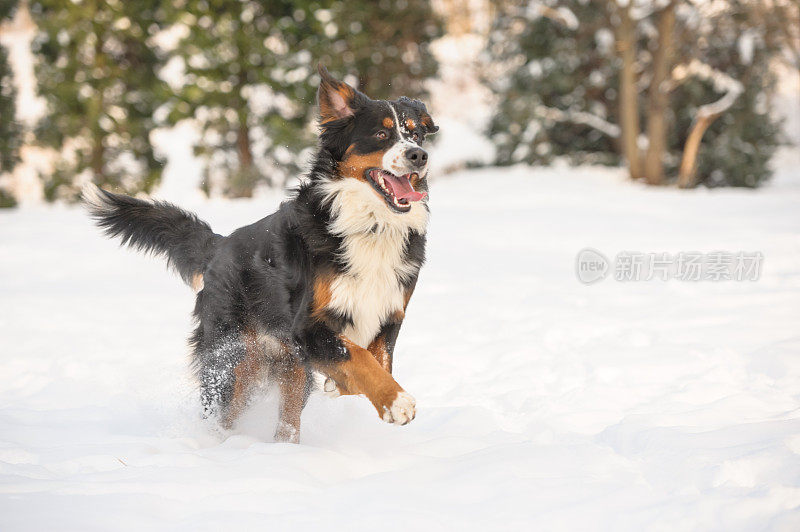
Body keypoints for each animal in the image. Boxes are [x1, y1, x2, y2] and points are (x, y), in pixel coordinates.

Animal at [83, 64, 438, 442]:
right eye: (382, 135)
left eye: (417, 135)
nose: (419, 156)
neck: (372, 226)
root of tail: (220, 245)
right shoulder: (306, 327)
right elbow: (357, 358)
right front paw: (396, 402)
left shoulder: (388, 316)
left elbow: (373, 362)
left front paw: (358, 390)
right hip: (234, 363)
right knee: (222, 413)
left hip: (281, 368)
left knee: (287, 424)